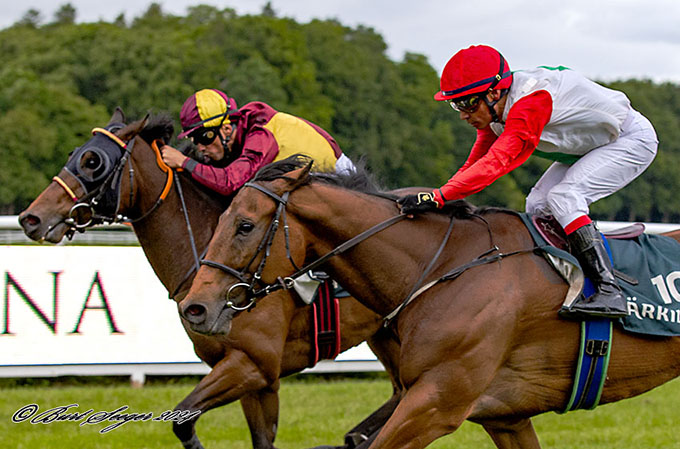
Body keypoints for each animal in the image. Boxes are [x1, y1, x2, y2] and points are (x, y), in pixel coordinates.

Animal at [17, 110, 404, 448]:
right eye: (74, 154)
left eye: (92, 161)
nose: (30, 218)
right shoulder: (254, 380)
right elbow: (255, 438)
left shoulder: (253, 364)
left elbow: (182, 419)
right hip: (386, 332)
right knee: (400, 390)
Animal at [178, 158, 680, 448]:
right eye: (220, 219)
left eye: (244, 226)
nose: (194, 307)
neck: (445, 265)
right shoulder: (507, 417)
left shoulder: (437, 402)